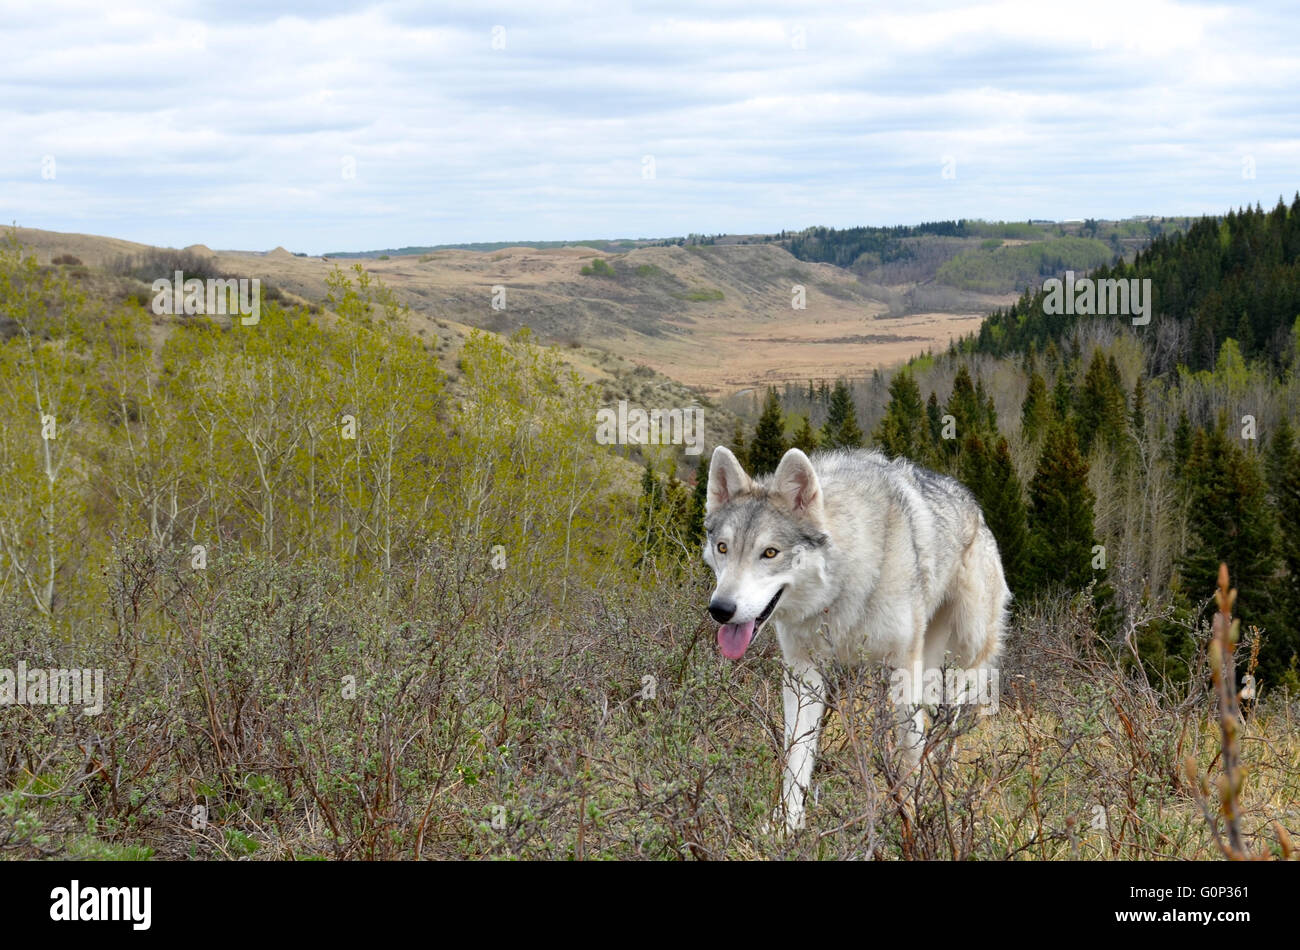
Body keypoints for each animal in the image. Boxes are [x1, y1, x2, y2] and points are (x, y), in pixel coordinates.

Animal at [703, 445, 1010, 834]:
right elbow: (797, 753)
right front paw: (786, 825)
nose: (720, 609)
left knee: (954, 711)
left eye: (770, 553)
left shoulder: (902, 667)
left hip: (968, 650)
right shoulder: (803, 674)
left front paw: (913, 816)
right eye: (723, 548)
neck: (842, 585)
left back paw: (945, 767)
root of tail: (972, 503)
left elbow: (908, 750)